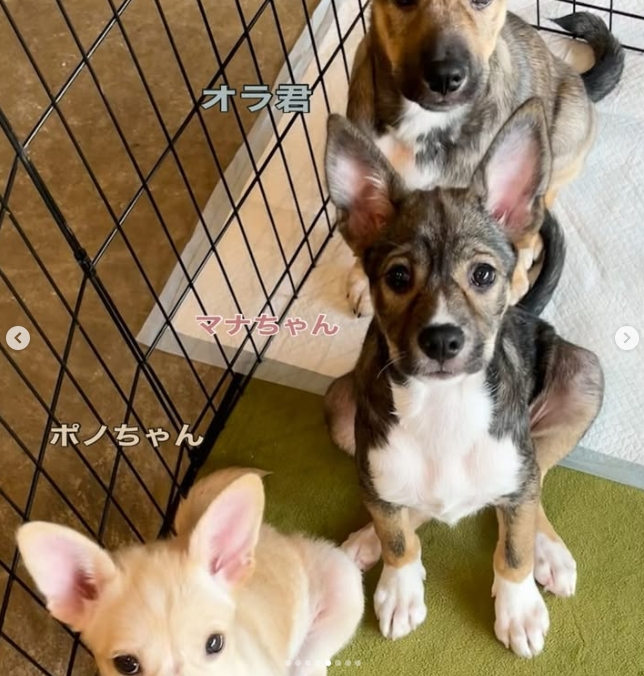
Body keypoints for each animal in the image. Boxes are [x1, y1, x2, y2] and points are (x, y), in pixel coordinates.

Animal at [322, 101, 604, 658]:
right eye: (397, 277)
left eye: (484, 275)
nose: (442, 341)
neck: (443, 405)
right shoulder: (373, 462)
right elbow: (397, 534)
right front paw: (398, 586)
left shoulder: (517, 473)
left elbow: (513, 546)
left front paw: (517, 608)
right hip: (343, 407)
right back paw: (366, 539)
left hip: (583, 381)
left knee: (534, 484)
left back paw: (549, 551)